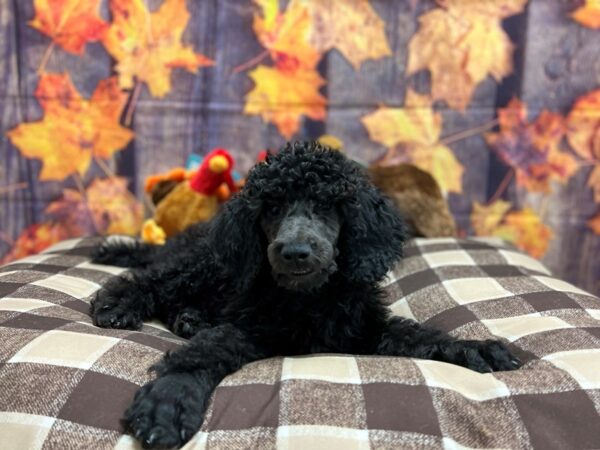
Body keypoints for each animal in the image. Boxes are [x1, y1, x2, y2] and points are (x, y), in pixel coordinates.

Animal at [90, 141, 520, 446]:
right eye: (272, 207)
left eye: (328, 206)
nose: (296, 252)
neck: (308, 299)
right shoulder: (250, 327)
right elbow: (204, 352)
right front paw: (170, 399)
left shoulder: (363, 328)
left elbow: (420, 335)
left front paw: (475, 348)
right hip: (204, 264)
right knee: (154, 278)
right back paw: (120, 302)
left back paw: (190, 317)